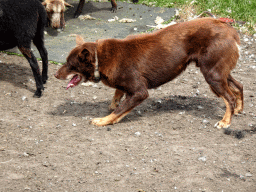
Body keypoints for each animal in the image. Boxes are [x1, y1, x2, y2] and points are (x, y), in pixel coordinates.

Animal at [55, 17, 243, 127]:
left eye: (69, 64)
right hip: (218, 72)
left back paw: (226, 121)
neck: (100, 58)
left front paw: (104, 120)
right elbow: (117, 95)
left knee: (230, 98)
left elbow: (120, 110)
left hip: (212, 74)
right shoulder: (126, 85)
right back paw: (238, 109)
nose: (55, 75)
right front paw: (113, 104)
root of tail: (230, 30)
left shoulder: (140, 91)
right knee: (238, 86)